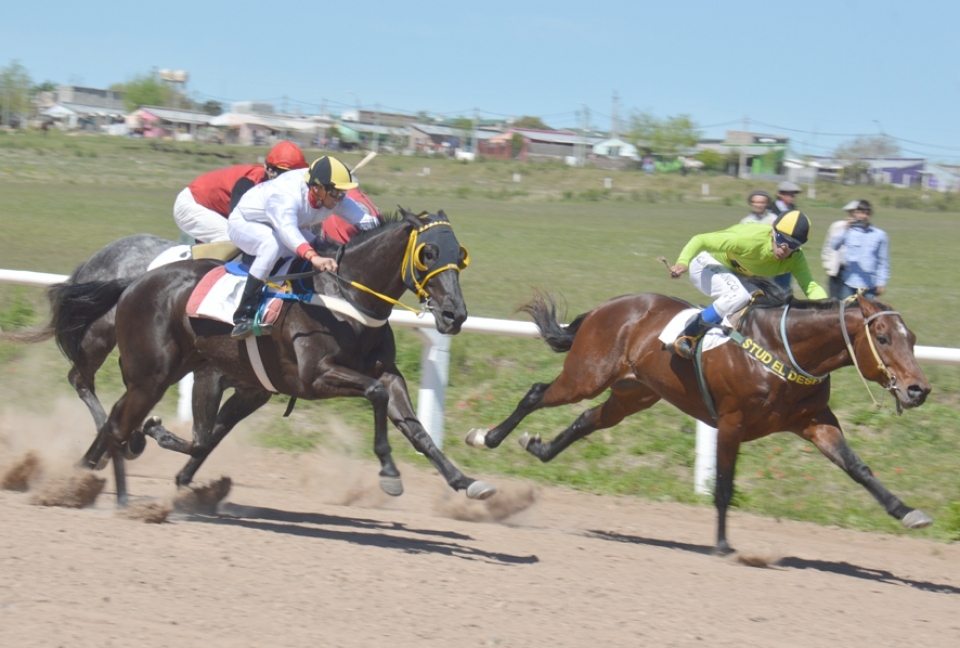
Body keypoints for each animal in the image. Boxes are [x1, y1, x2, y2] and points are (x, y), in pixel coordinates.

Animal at [50, 208, 496, 506]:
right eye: (428, 253)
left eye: (460, 254)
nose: (454, 314)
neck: (343, 300)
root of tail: (134, 281)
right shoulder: (314, 376)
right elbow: (375, 394)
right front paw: (389, 473)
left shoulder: (265, 386)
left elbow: (416, 429)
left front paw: (465, 480)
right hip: (150, 372)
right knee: (106, 408)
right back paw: (109, 484)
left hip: (161, 372)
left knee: (117, 419)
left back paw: (92, 471)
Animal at [465, 289, 932, 554]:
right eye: (883, 338)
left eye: (911, 338)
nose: (918, 390)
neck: (782, 350)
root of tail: (605, 307)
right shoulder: (731, 422)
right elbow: (723, 486)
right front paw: (722, 543)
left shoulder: (815, 421)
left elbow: (859, 468)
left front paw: (907, 511)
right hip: (586, 375)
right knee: (536, 393)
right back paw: (486, 437)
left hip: (633, 394)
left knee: (586, 419)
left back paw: (539, 447)